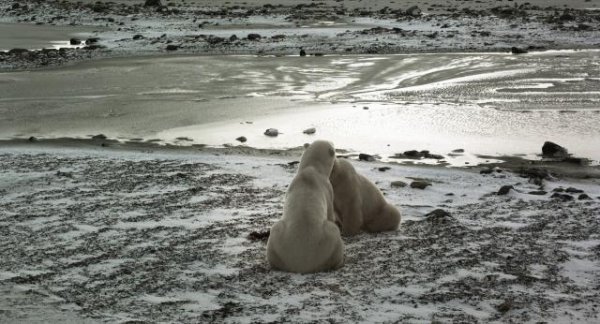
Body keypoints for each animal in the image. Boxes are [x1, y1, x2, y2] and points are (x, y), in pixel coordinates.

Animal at [266, 140, 344, 274]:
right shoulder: (327, 188)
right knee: (334, 232)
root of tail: (302, 264)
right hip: (327, 239)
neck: (311, 169)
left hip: (277, 239)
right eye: (332, 144)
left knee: (275, 231)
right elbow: (330, 213)